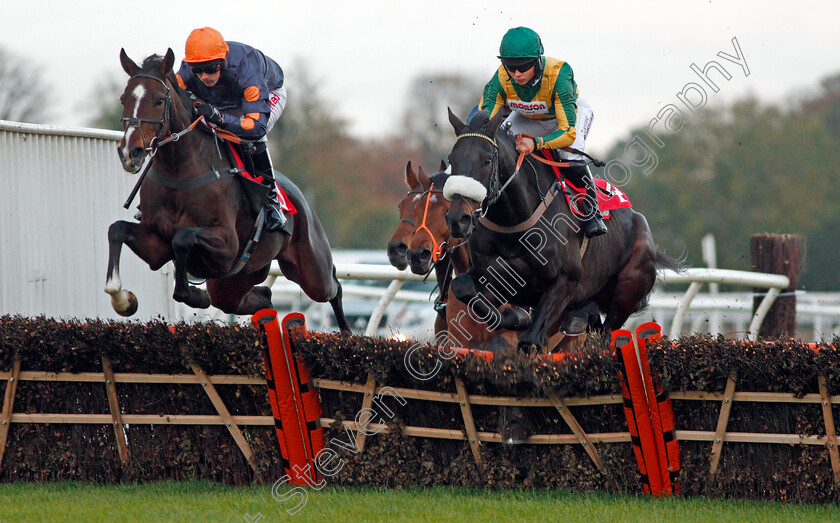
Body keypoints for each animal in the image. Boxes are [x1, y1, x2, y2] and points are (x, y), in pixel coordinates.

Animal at [106, 50, 352, 336]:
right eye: (124, 99)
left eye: (158, 100)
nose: (130, 152)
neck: (180, 173)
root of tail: (300, 198)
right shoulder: (157, 245)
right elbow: (117, 229)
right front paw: (122, 299)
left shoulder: (227, 245)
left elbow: (183, 237)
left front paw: (193, 293)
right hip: (236, 280)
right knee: (264, 296)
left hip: (311, 269)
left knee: (333, 288)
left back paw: (346, 334)